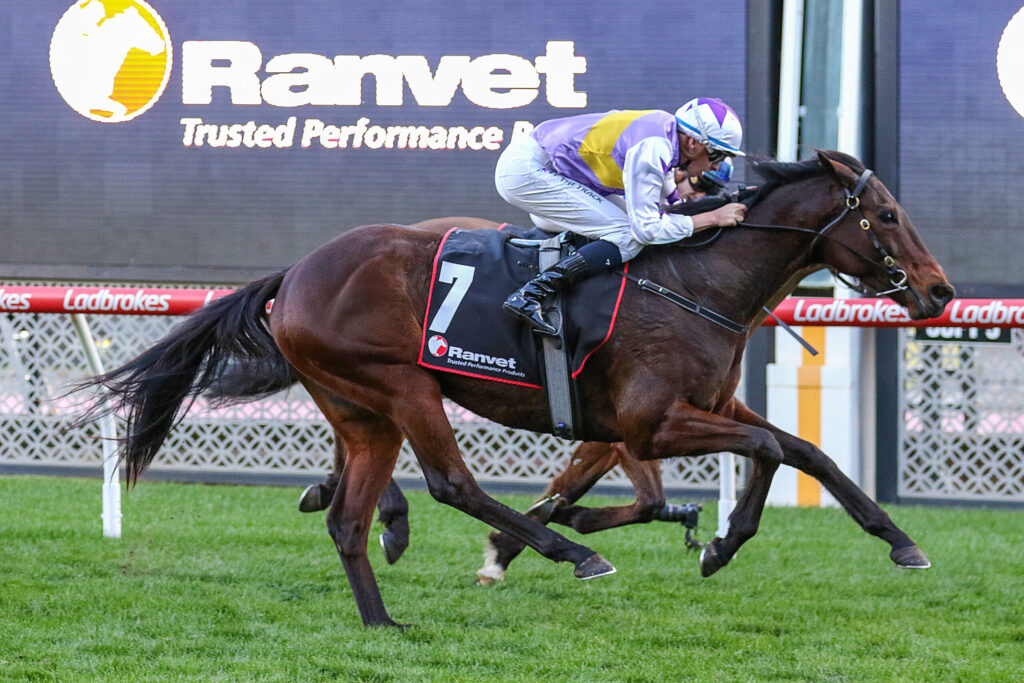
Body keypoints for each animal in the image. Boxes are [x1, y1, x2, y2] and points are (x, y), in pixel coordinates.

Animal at [77, 151, 954, 627]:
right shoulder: (648, 424)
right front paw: (719, 540)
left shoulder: (705, 405)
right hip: (403, 386)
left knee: (349, 513)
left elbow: (808, 451)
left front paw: (899, 539)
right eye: (885, 214)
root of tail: (294, 272)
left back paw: (383, 612)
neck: (697, 280)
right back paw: (570, 552)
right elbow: (769, 446)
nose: (939, 291)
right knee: (452, 483)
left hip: (360, 406)